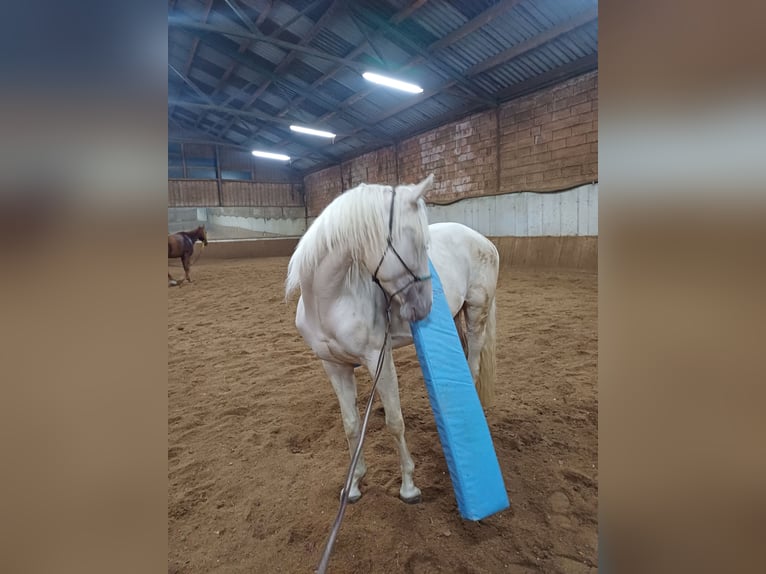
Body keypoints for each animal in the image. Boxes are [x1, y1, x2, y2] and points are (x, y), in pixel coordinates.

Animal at [286, 174, 499, 504]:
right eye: (417, 243)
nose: (424, 307)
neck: (330, 302)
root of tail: (483, 240)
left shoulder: (379, 359)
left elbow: (394, 422)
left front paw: (408, 486)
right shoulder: (333, 365)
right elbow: (351, 426)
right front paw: (353, 485)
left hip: (477, 313)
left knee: (474, 365)